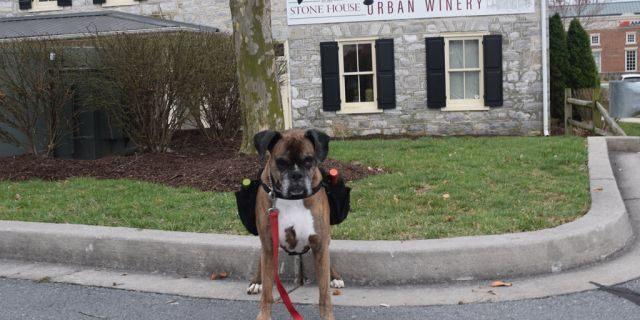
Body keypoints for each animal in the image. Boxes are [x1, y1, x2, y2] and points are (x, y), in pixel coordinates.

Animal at [248, 129, 342, 318]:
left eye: (308, 160)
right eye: (281, 162)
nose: (296, 175)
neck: (292, 199)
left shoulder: (320, 244)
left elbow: (324, 295)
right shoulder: (268, 244)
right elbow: (267, 293)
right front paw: (264, 315)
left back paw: (335, 277)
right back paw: (256, 281)